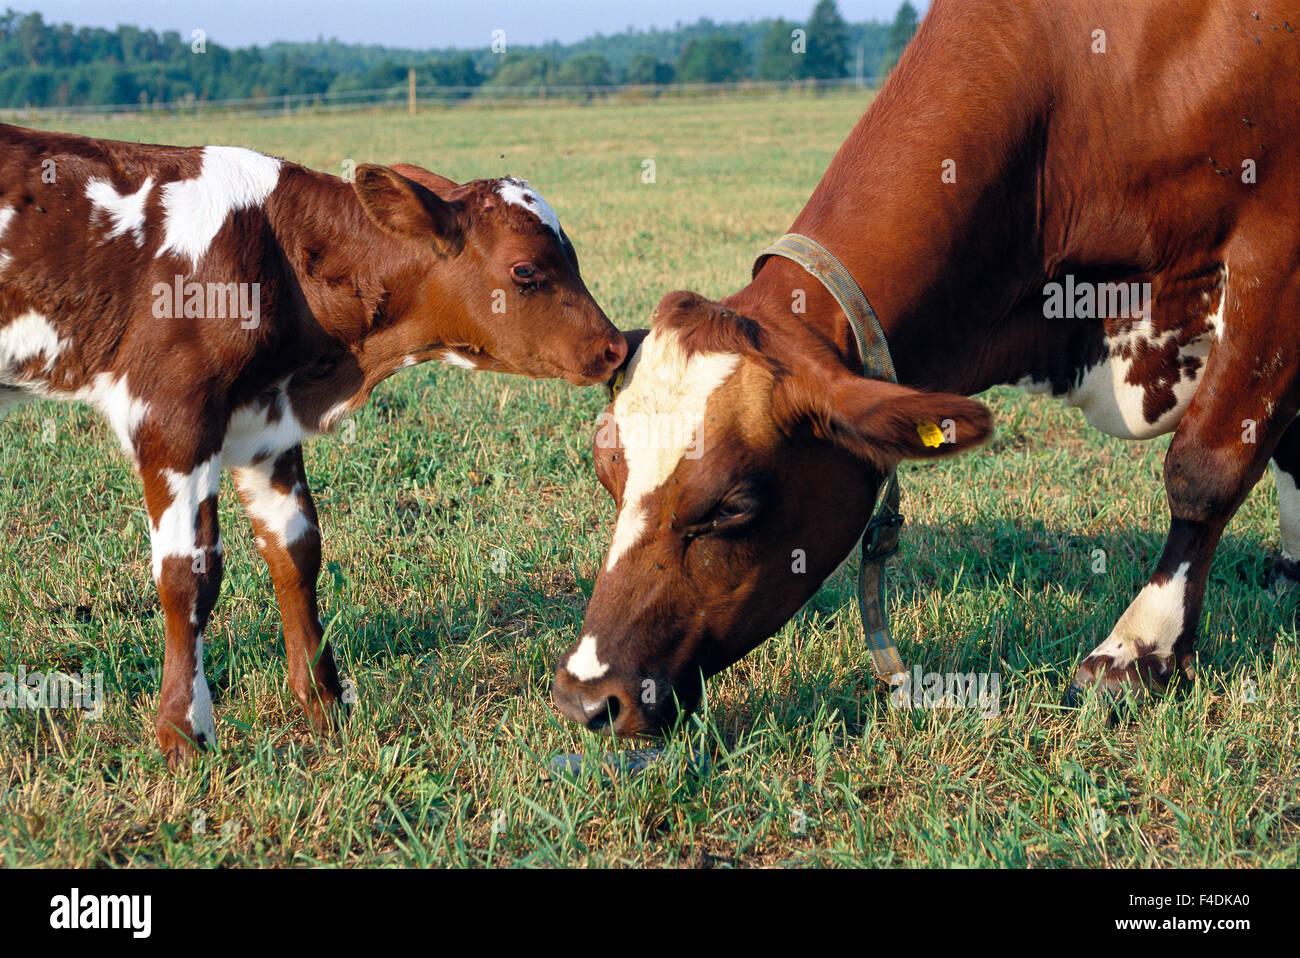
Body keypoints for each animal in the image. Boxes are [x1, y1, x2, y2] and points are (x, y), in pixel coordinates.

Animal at [0, 123, 627, 765]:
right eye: (525, 270)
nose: (616, 347)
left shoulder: (264, 423)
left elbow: (296, 549)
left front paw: (324, 702)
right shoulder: (171, 415)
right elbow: (187, 574)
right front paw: (183, 732)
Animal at [553, 0, 1300, 737]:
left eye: (732, 506)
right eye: (605, 472)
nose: (584, 697)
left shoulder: (1275, 259)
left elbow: (1204, 470)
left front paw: (1138, 651)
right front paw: (1291, 572)